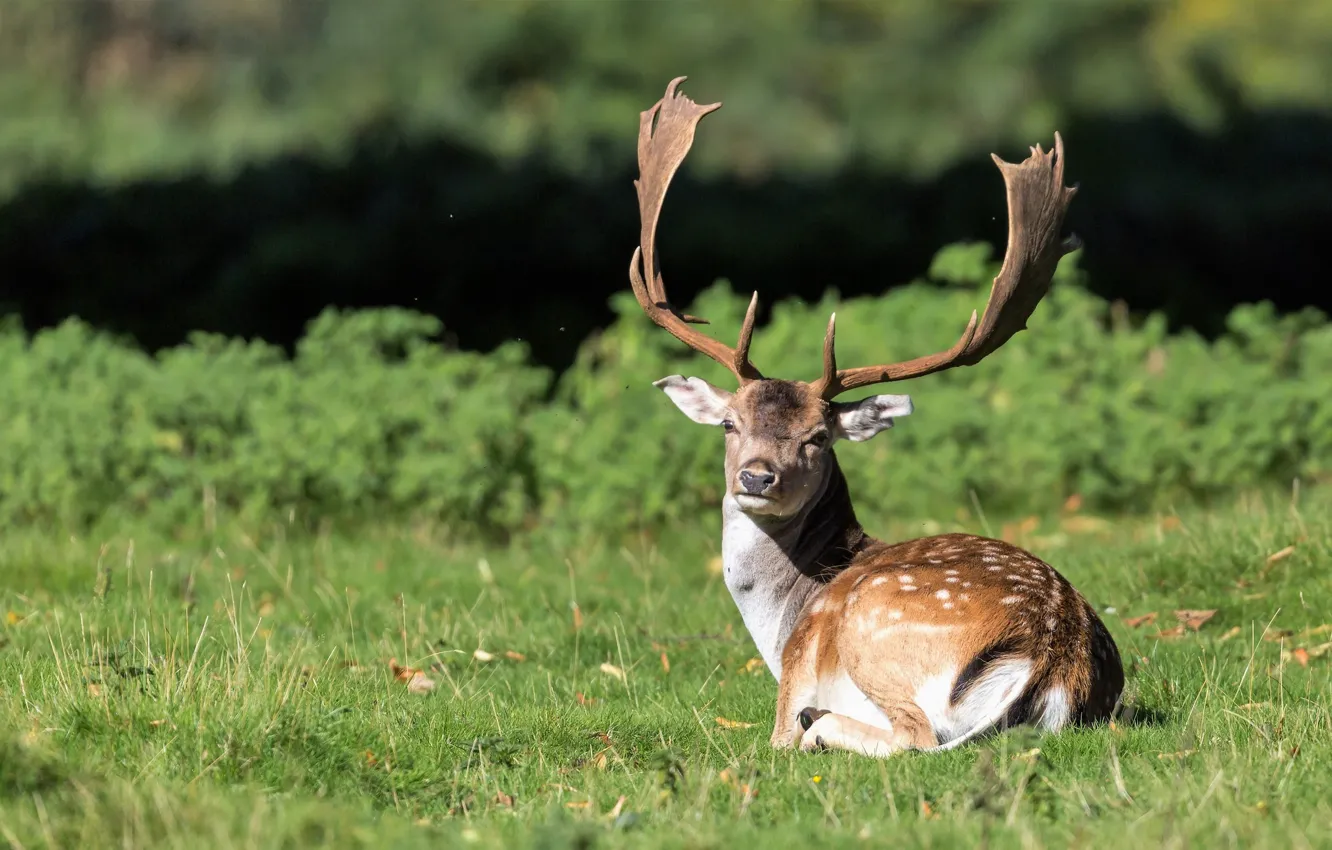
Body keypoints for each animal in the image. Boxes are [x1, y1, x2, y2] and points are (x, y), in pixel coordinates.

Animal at [628, 78, 1124, 757]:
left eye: (817, 438)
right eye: (730, 424)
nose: (756, 477)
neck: (784, 614)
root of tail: (1050, 657)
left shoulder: (794, 671)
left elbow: (779, 735)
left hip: (873, 624)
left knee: (909, 735)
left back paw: (821, 725)